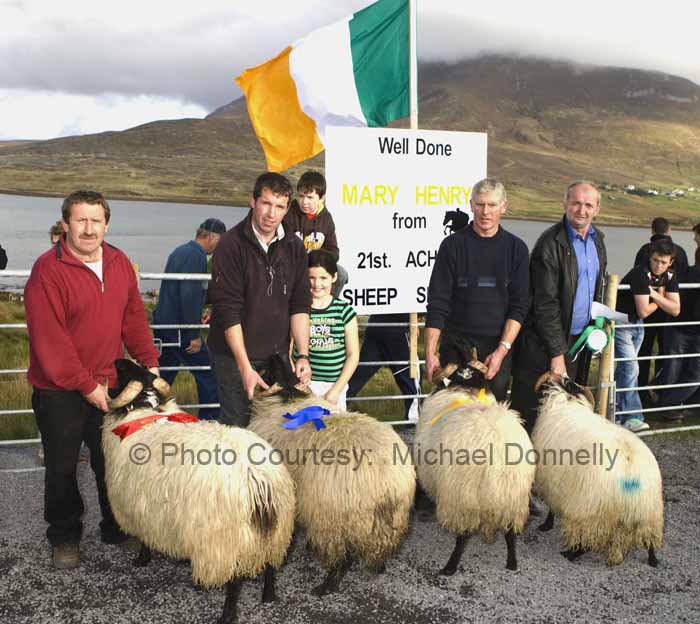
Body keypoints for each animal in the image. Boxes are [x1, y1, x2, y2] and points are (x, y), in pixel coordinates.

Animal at [102, 358, 296, 620]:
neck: (147, 414)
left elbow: (144, 539)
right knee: (271, 566)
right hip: (276, 532)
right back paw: (268, 597)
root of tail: (257, 478)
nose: (117, 360)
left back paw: (226, 615)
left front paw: (142, 559)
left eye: (123, 371)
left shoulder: (140, 507)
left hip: (225, 541)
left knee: (234, 580)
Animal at [249, 356, 416, 596]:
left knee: (342, 559)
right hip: (389, 517)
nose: (272, 355)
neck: (286, 394)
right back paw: (380, 566)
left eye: (265, 367)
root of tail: (386, 481)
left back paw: (326, 585)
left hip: (332, 517)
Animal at [416, 360, 536, 576]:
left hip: (463, 496)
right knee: (510, 533)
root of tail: (497, 450)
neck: (467, 388)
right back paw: (512, 562)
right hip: (514, 496)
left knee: (463, 536)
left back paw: (450, 567)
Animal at [532, 372, 664, 568]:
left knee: (585, 541)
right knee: (650, 539)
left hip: (591, 509)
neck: (568, 400)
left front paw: (546, 525)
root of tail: (631, 469)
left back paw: (570, 553)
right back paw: (653, 560)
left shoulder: (555, 483)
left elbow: (551, 508)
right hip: (648, 512)